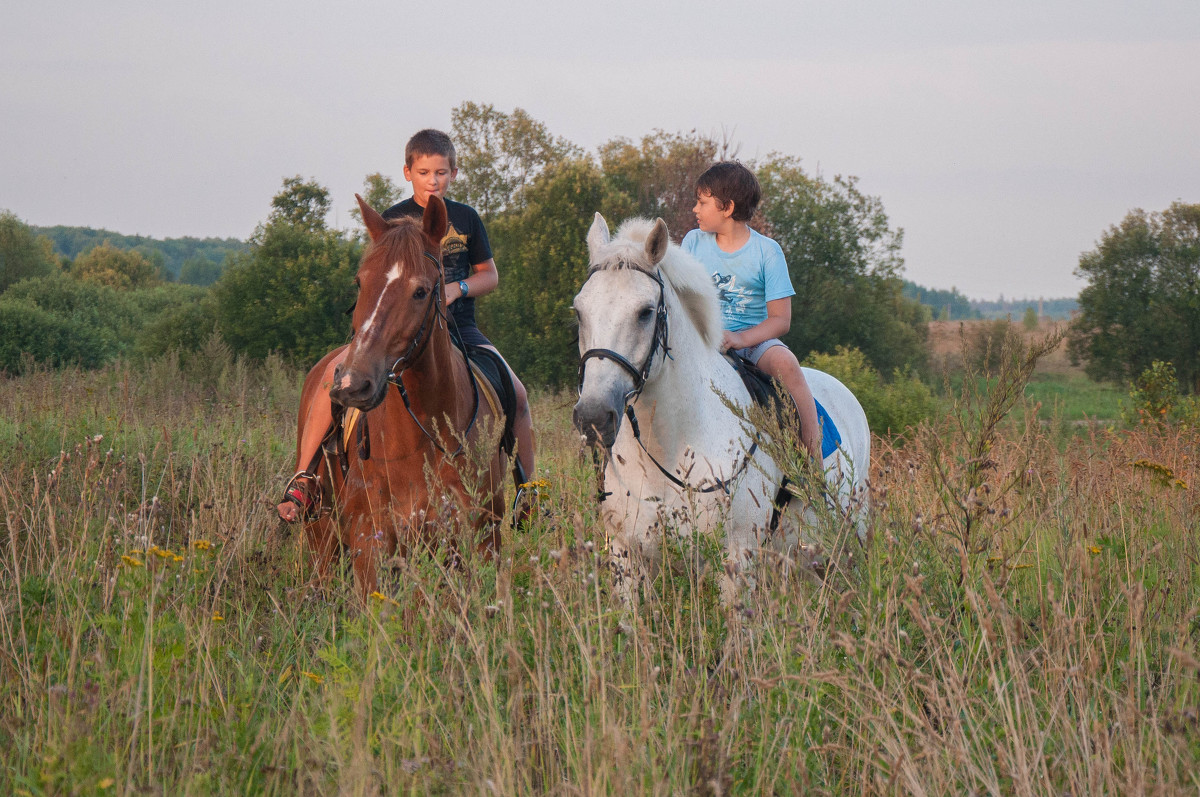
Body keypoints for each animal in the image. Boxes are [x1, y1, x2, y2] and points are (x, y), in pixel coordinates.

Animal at [302, 194, 508, 597]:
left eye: (422, 291)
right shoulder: (370, 542)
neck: (418, 441)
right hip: (320, 539)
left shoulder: (476, 542)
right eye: (360, 282)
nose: (352, 385)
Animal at [571, 213, 873, 604]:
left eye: (645, 312)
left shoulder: (737, 561)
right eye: (580, 311)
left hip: (851, 537)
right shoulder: (626, 556)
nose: (593, 417)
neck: (669, 447)